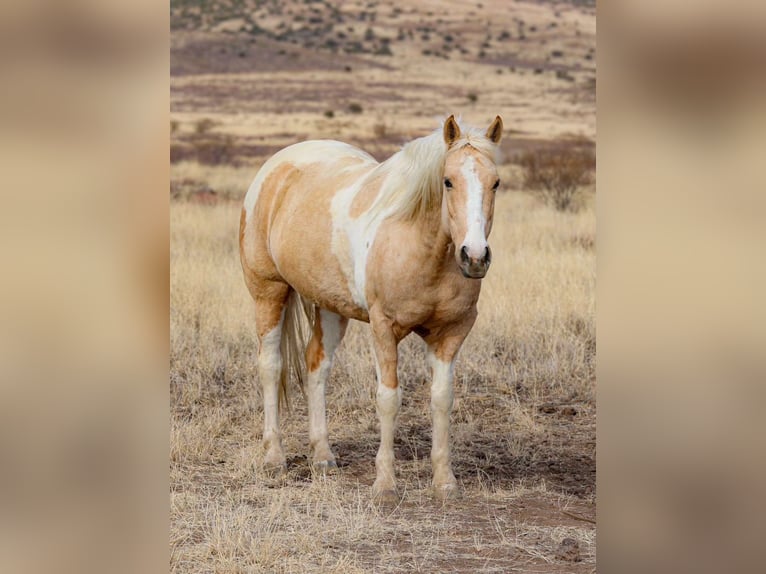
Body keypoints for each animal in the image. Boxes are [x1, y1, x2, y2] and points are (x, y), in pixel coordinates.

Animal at [238, 115, 504, 502]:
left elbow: (442, 399)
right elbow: (388, 399)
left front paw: (444, 482)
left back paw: (322, 455)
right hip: (268, 293)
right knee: (271, 366)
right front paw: (385, 484)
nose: (475, 256)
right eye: (448, 181)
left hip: (330, 307)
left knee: (317, 365)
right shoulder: (384, 329)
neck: (421, 247)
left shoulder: (451, 333)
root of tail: (276, 167)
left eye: (495, 182)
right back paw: (274, 456)